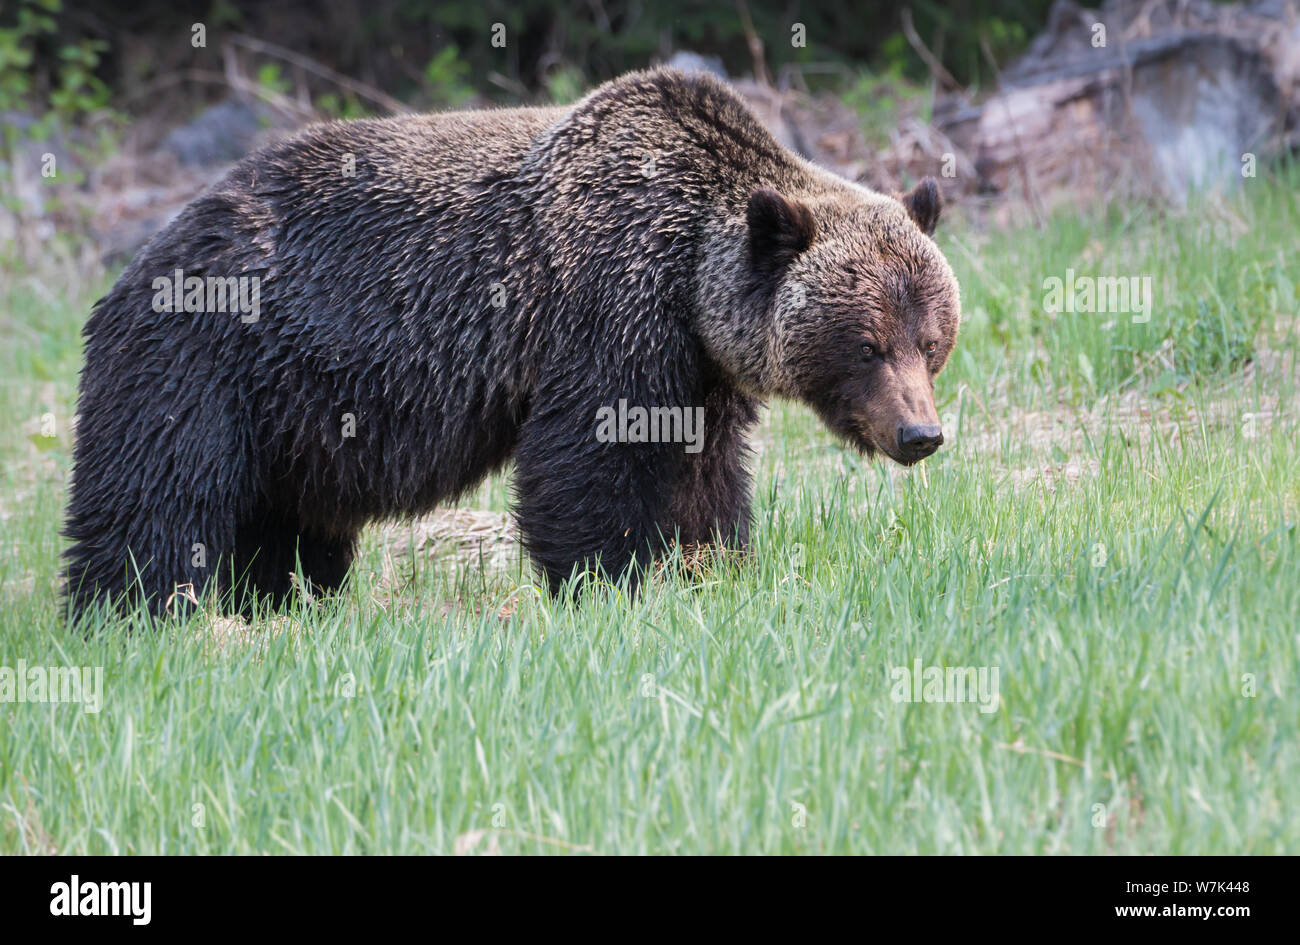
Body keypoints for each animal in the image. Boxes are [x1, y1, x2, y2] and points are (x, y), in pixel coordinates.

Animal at [62, 67, 960, 620]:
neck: (688, 277)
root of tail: (145, 253)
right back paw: (136, 611)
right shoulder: (607, 312)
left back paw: (281, 602)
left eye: (930, 340)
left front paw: (711, 569)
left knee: (285, 525)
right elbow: (586, 465)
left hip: (293, 421)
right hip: (201, 364)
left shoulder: (698, 370)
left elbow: (704, 477)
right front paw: (612, 582)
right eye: (867, 343)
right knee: (158, 496)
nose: (920, 433)